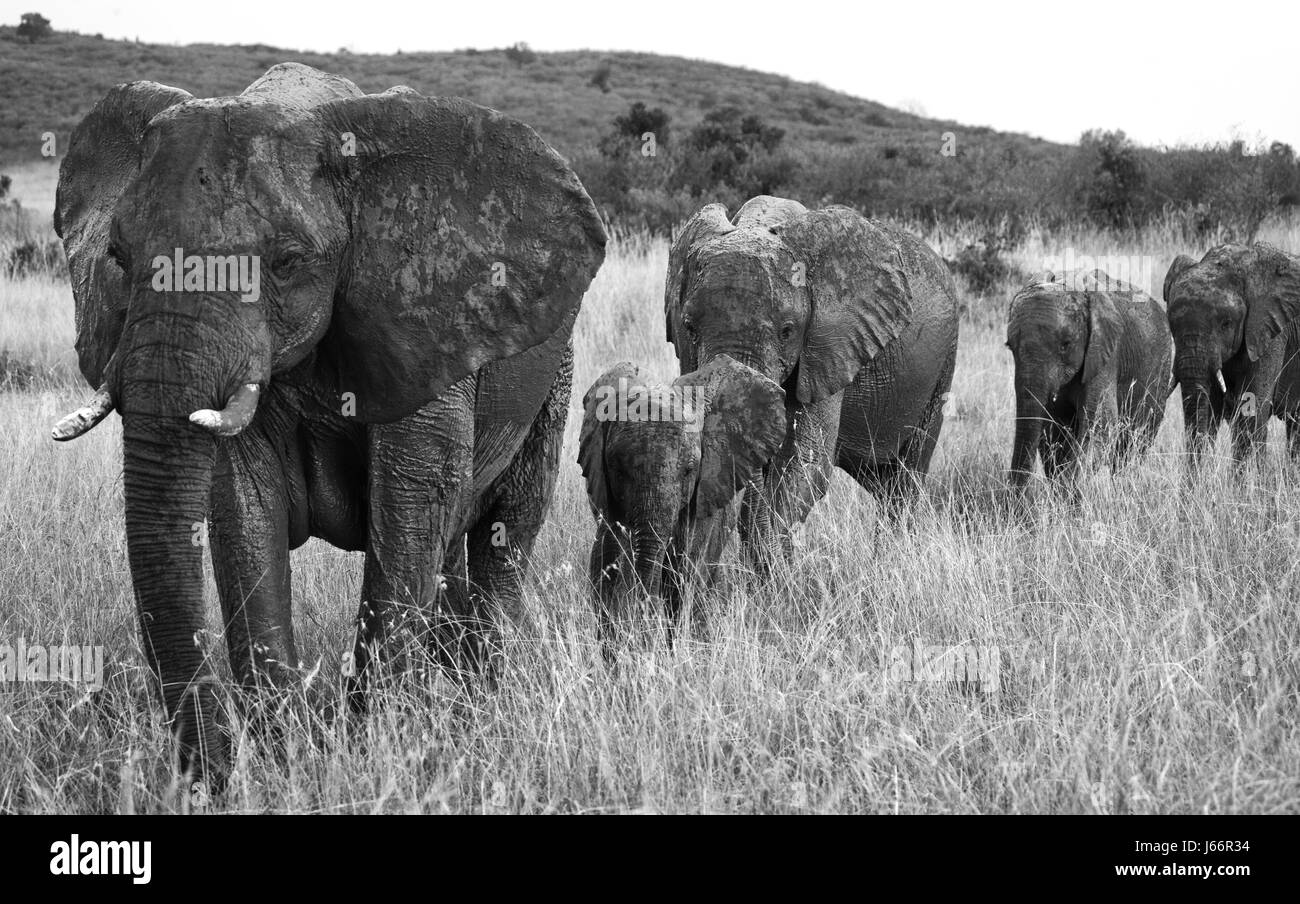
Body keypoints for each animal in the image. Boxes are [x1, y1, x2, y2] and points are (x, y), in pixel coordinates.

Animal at [45, 61, 603, 785]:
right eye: (117, 255)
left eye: (287, 262)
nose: (206, 779)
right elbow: (244, 508)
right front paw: (285, 758)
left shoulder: (425, 320)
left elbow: (411, 502)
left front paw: (381, 752)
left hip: (554, 368)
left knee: (506, 531)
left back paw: (480, 706)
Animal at [665, 195, 961, 561]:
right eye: (689, 327)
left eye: (787, 331)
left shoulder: (831, 344)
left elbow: (806, 462)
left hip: (942, 366)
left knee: (906, 478)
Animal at [1003, 266, 1180, 489]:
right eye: (1010, 346)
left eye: (1066, 345)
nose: (1013, 494)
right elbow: (1053, 431)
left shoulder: (1105, 354)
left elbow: (1101, 426)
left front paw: (1068, 488)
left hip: (1160, 366)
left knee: (1134, 441)